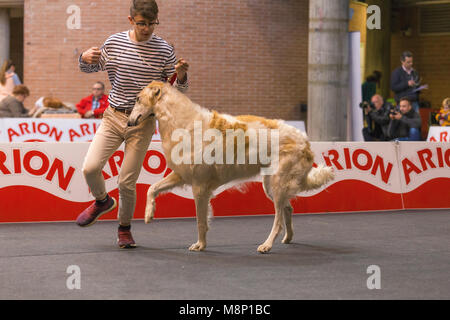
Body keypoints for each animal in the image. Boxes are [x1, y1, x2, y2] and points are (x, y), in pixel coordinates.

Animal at [127, 81, 334, 254]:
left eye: (137, 98)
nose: (129, 122)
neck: (183, 122)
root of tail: (305, 141)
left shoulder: (199, 186)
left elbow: (201, 221)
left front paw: (200, 245)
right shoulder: (181, 175)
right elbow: (152, 189)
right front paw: (149, 214)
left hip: (277, 182)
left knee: (278, 220)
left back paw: (266, 245)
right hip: (270, 185)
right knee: (288, 208)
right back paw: (288, 238)